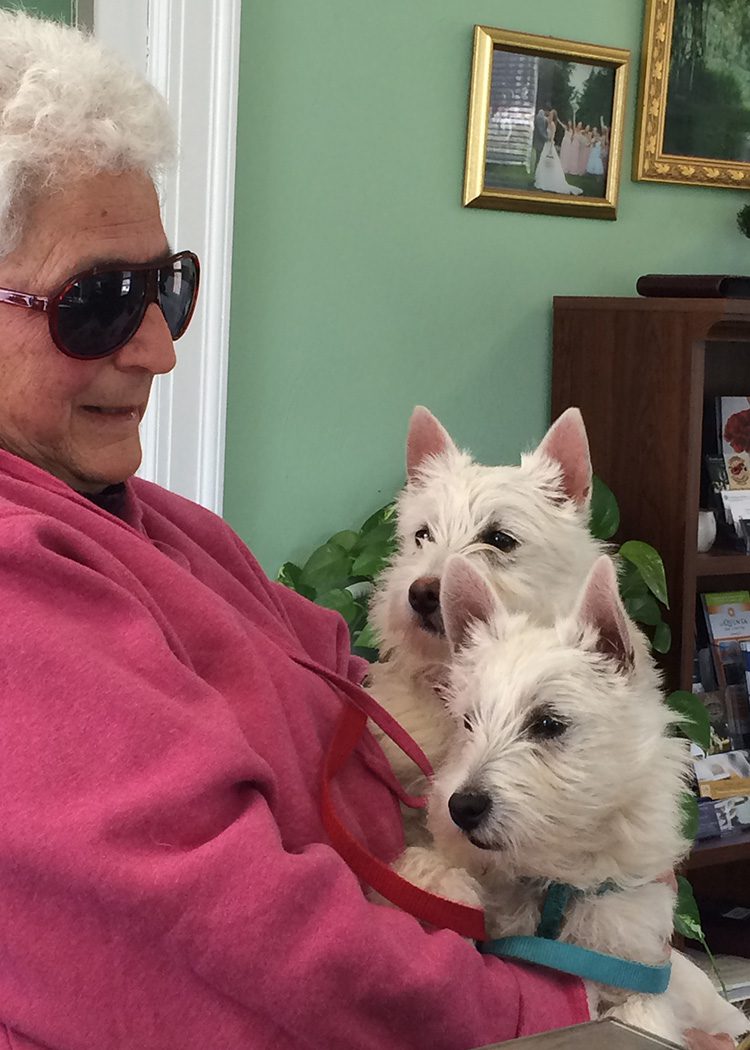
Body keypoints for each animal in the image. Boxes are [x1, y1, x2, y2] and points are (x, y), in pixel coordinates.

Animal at [394, 554, 743, 1045]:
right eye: (468, 722)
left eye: (548, 723)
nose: (462, 808)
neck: (552, 879)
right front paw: (432, 880)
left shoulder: (638, 968)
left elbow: (639, 1016)